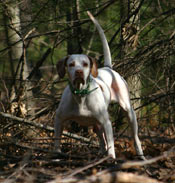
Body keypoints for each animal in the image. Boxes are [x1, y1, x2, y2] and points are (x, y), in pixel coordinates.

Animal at [54, 12, 145, 159]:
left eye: (85, 64)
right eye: (71, 64)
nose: (79, 72)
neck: (81, 95)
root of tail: (108, 68)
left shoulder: (106, 123)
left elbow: (111, 144)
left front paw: (111, 158)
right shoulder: (59, 119)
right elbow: (57, 140)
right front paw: (56, 156)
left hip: (129, 112)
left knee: (135, 138)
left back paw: (140, 155)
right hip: (97, 125)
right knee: (102, 140)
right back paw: (101, 154)